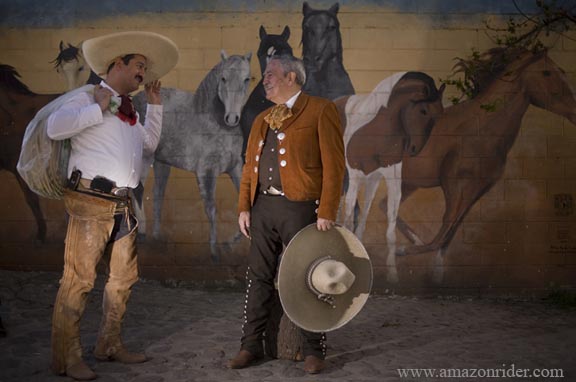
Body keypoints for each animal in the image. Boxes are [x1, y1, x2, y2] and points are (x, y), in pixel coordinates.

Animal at [135, 50, 254, 262]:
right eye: (223, 78)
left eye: (246, 79)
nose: (232, 118)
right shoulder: (206, 172)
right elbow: (211, 209)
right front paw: (215, 252)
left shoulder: (236, 167)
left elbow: (244, 204)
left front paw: (228, 244)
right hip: (144, 159)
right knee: (135, 190)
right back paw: (140, 233)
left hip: (162, 163)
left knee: (157, 194)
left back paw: (157, 237)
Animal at [378, 47, 576, 282]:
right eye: (546, 72)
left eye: (562, 70)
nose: (575, 111)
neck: (482, 131)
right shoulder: (454, 186)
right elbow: (443, 230)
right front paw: (405, 252)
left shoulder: (479, 190)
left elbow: (451, 232)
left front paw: (436, 273)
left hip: (408, 183)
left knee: (384, 206)